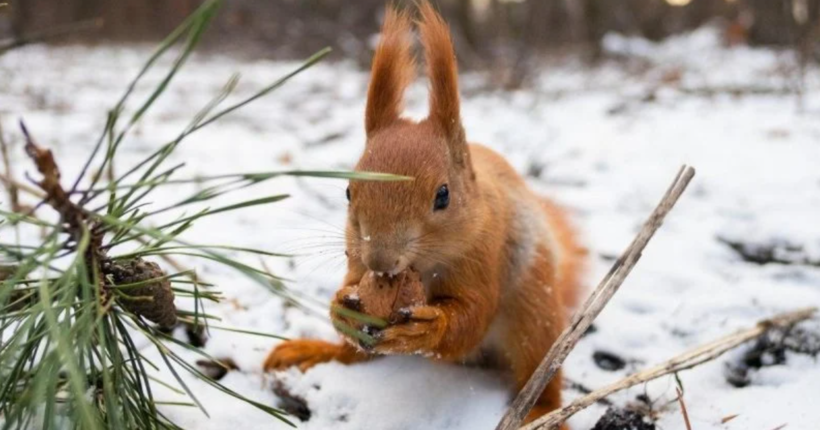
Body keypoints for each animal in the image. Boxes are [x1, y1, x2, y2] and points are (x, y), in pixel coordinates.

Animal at [264, 0, 584, 424]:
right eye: (348, 191)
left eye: (443, 196)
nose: (381, 261)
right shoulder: (356, 255)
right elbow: (351, 284)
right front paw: (342, 308)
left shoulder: (485, 253)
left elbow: (473, 315)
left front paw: (425, 329)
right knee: (354, 356)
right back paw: (316, 351)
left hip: (535, 310)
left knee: (540, 366)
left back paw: (541, 411)